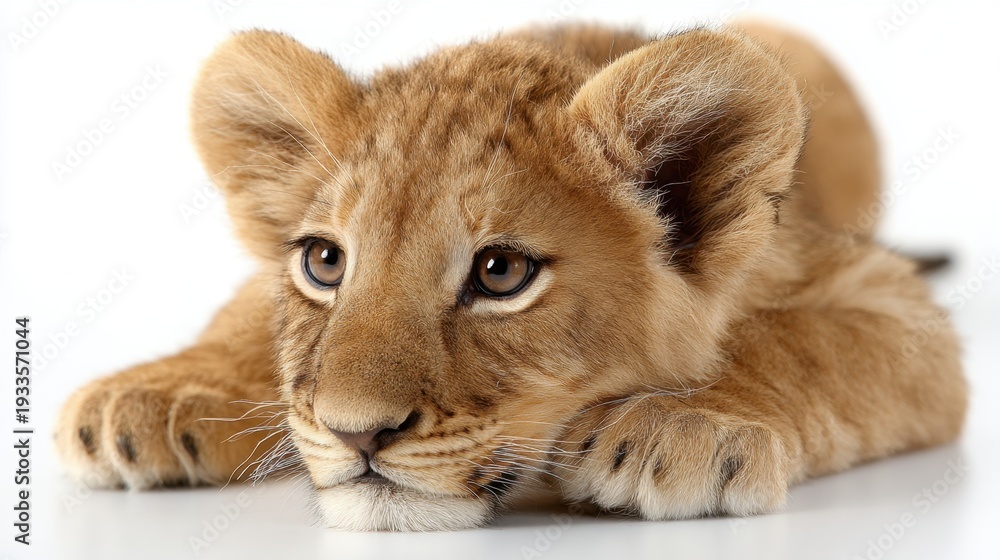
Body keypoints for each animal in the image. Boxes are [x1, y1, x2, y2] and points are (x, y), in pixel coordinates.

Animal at [55, 22, 967, 531]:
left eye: (500, 274)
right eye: (324, 261)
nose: (357, 435)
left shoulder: (895, 306)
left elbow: (800, 344)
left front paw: (681, 424)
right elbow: (245, 323)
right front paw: (156, 395)